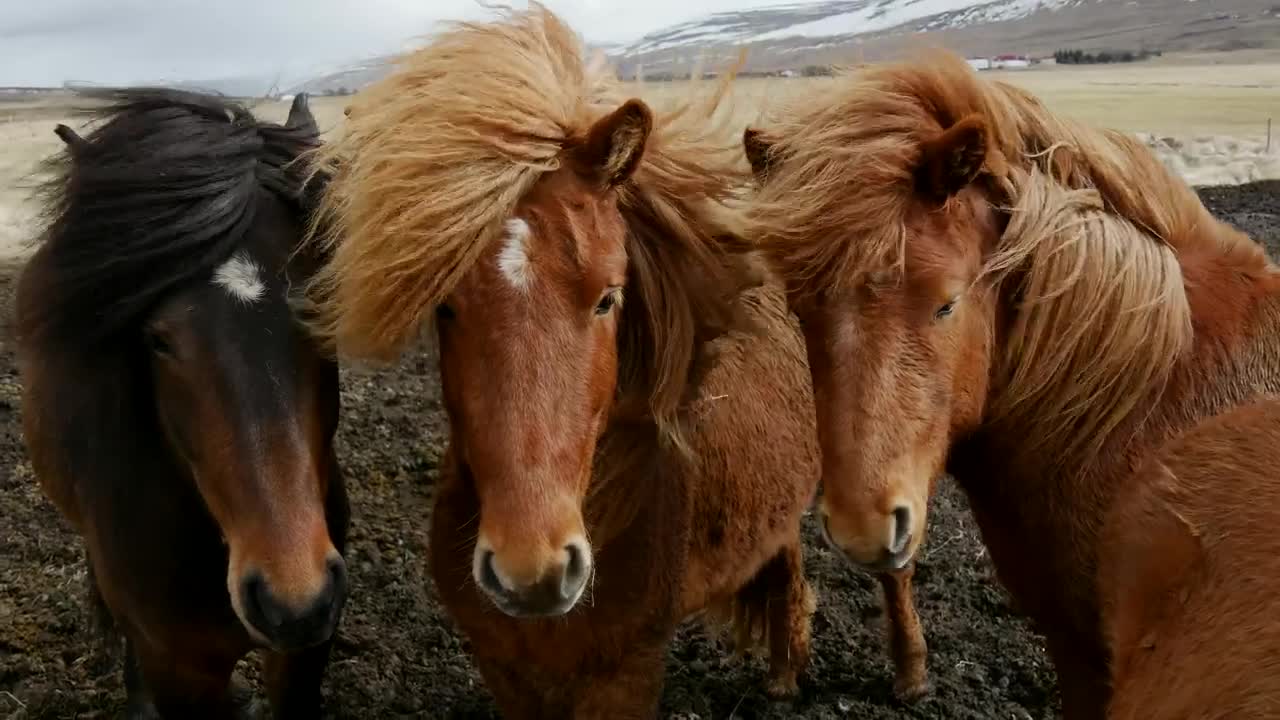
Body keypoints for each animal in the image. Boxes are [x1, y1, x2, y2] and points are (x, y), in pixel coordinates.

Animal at [303, 5, 820, 717]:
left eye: (608, 298)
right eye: (445, 308)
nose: (534, 572)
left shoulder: (626, 672)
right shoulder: (505, 668)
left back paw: (790, 673)